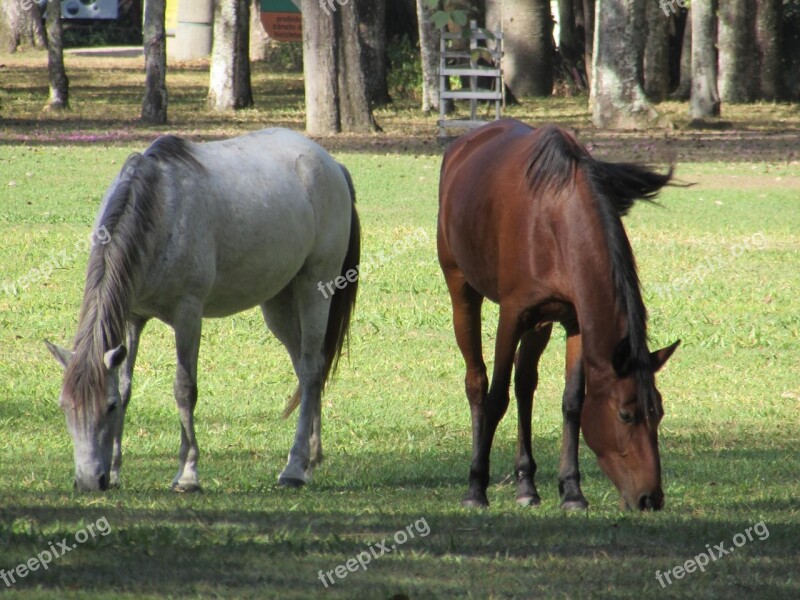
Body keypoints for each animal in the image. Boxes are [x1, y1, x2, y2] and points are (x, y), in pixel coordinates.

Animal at [43, 127, 356, 492]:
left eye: (108, 408)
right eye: (65, 407)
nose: (90, 480)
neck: (161, 205)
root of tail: (331, 164)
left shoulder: (188, 315)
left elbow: (184, 388)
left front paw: (188, 474)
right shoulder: (133, 317)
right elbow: (126, 384)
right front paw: (118, 471)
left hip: (314, 289)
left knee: (310, 369)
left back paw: (293, 467)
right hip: (278, 304)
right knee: (308, 369)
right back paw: (311, 458)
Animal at [438, 118, 680, 510]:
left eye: (657, 412)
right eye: (625, 414)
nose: (650, 499)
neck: (555, 217)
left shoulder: (575, 320)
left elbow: (572, 402)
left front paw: (572, 491)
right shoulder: (512, 315)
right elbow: (496, 399)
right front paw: (476, 488)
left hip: (541, 323)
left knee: (525, 384)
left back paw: (526, 485)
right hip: (461, 287)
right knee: (478, 383)